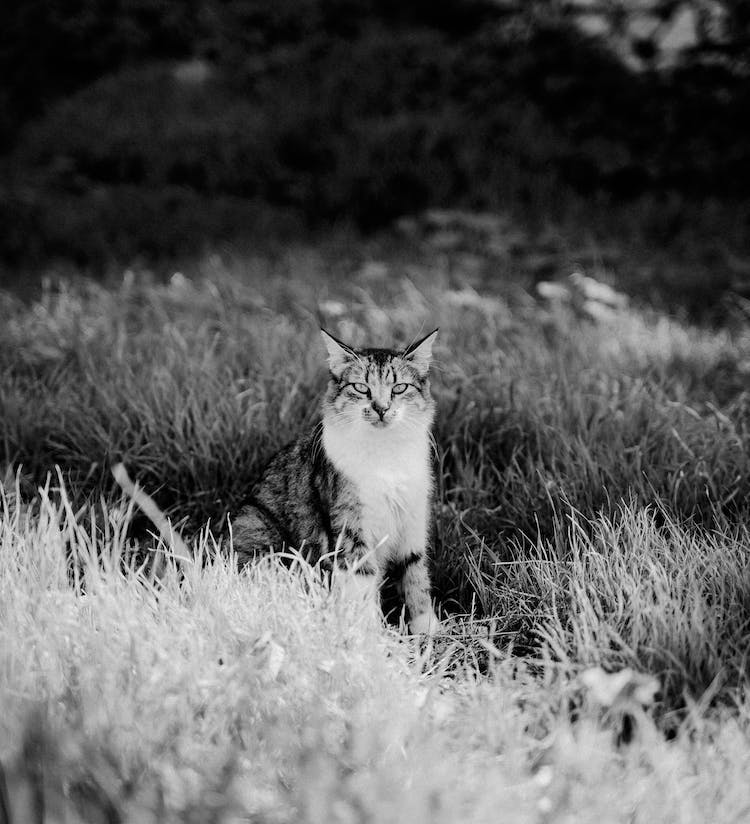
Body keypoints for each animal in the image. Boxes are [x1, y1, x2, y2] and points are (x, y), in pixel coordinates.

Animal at [231, 328, 440, 636]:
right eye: (361, 388)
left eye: (399, 388)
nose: (381, 408)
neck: (386, 454)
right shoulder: (352, 530)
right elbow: (363, 582)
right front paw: (368, 635)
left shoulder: (412, 519)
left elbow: (415, 574)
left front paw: (426, 626)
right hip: (257, 528)